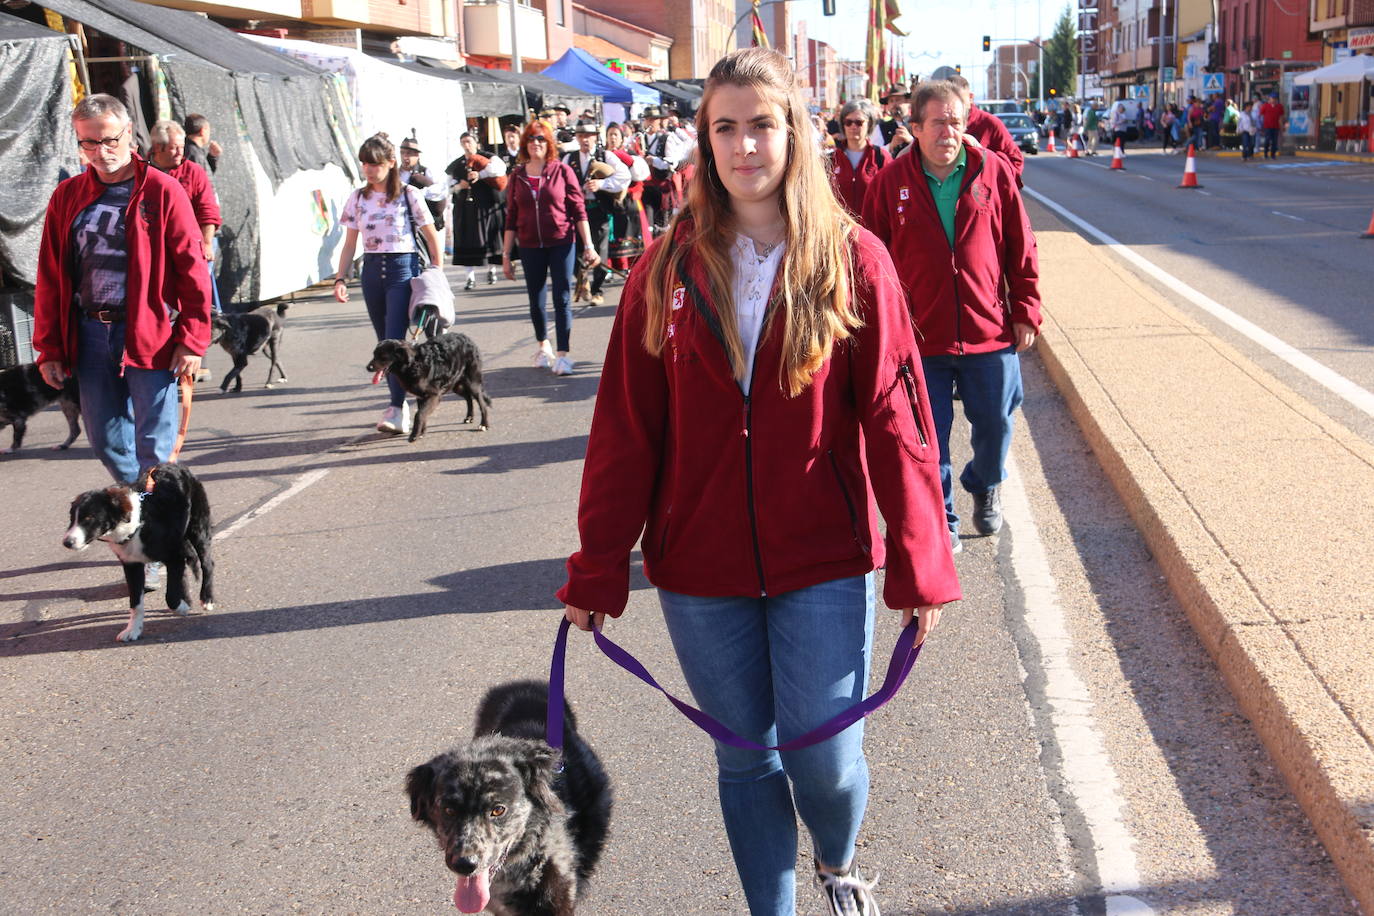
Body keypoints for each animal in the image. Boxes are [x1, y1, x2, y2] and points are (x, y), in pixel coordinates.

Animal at [62, 461, 214, 642]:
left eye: (89, 518)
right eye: (72, 518)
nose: (67, 542)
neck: (137, 523)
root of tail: (176, 465)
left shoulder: (174, 556)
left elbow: (170, 596)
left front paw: (181, 608)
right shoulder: (131, 564)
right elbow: (136, 603)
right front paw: (133, 630)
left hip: (198, 528)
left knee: (207, 564)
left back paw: (206, 598)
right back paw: (187, 600)